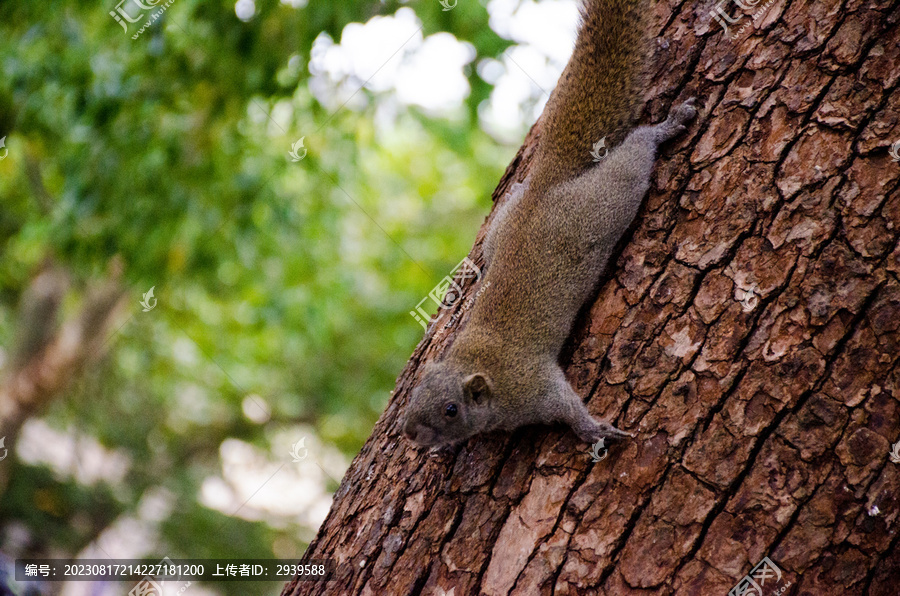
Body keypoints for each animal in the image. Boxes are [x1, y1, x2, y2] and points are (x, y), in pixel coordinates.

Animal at [404, 0, 700, 448]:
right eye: (415, 395)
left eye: (451, 409)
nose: (408, 432)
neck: (472, 364)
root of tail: (547, 180)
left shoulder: (534, 386)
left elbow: (567, 406)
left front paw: (594, 430)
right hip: (500, 229)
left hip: (605, 202)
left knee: (633, 156)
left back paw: (663, 128)